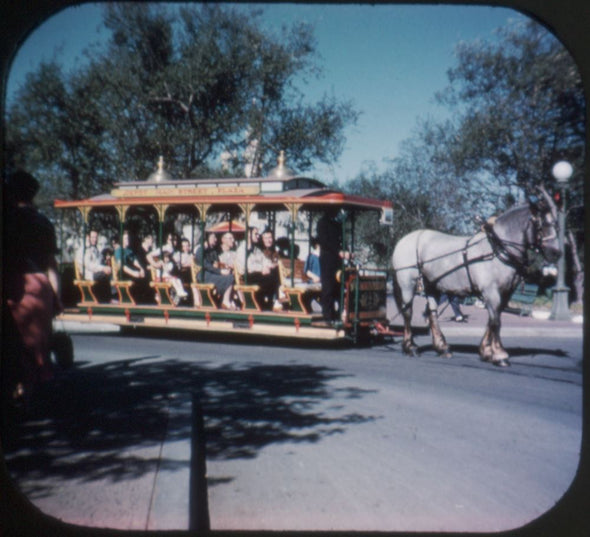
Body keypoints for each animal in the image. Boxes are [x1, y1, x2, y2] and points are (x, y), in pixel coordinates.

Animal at [396, 197, 560, 368]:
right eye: (542, 223)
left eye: (556, 224)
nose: (556, 253)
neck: (496, 250)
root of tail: (405, 240)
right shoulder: (491, 292)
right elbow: (496, 322)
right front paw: (499, 354)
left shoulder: (504, 294)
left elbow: (492, 320)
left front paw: (486, 351)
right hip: (408, 284)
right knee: (408, 312)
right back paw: (410, 347)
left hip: (431, 286)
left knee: (432, 313)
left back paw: (442, 348)